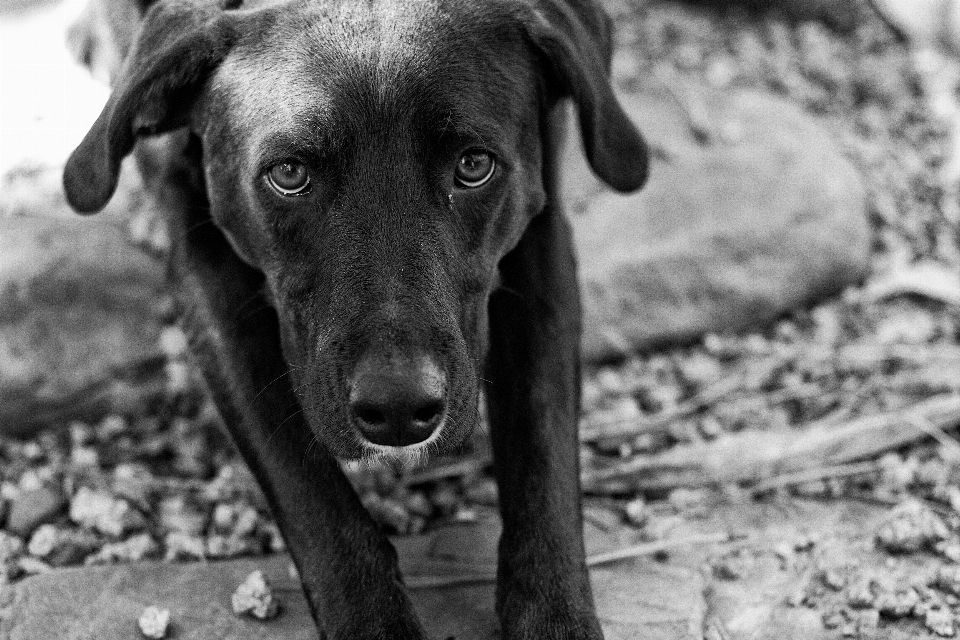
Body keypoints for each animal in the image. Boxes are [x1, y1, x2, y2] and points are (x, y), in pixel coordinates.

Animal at [63, 0, 648, 636]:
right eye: (289, 174)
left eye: (474, 165)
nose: (397, 410)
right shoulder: (205, 266)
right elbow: (305, 482)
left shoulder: (539, 233)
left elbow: (544, 453)